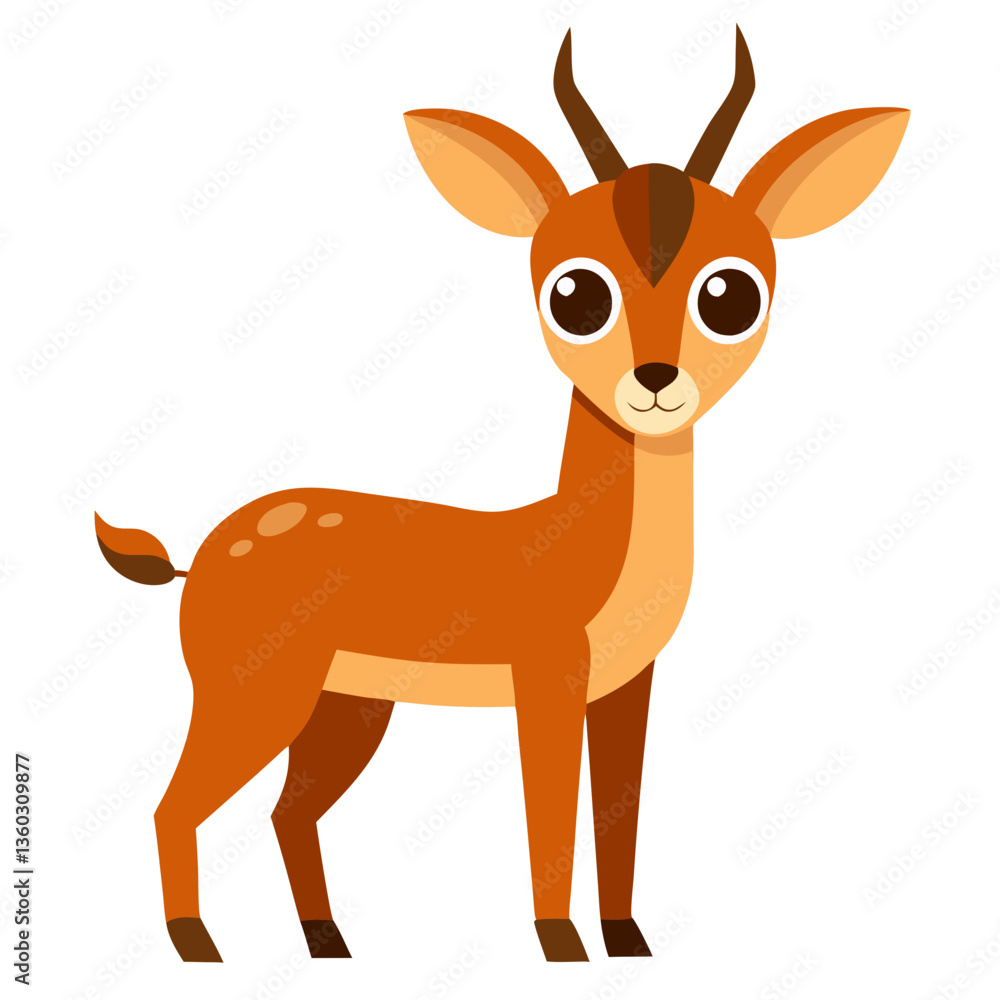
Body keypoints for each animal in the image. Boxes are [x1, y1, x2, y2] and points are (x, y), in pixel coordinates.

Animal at [95, 28, 908, 963]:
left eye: (730, 293)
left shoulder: (626, 686)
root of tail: (195, 559)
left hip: (347, 710)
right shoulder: (546, 680)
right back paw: (198, 946)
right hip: (254, 697)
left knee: (286, 812)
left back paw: (330, 943)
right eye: (576, 293)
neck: (583, 547)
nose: (655, 381)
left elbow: (619, 812)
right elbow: (549, 807)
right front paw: (560, 945)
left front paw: (628, 943)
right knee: (173, 805)